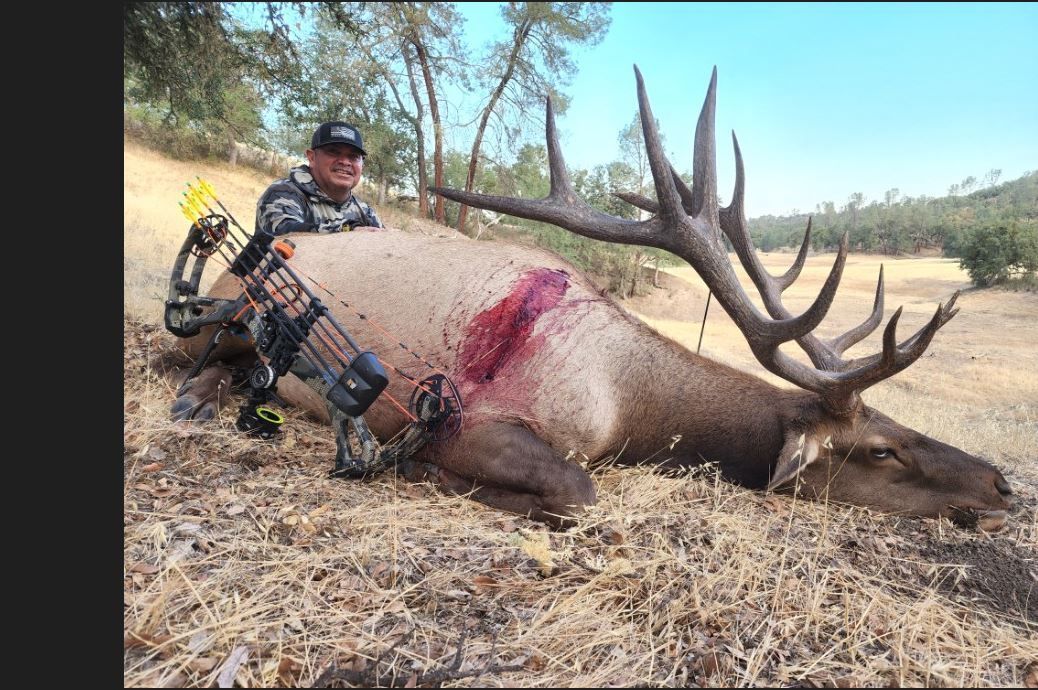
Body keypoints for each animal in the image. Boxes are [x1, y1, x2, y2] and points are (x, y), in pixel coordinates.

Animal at [171, 67, 1013, 532]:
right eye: (881, 450)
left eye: (897, 421)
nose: (1002, 482)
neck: (629, 405)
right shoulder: (471, 419)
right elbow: (579, 493)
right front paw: (432, 478)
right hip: (226, 322)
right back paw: (202, 397)